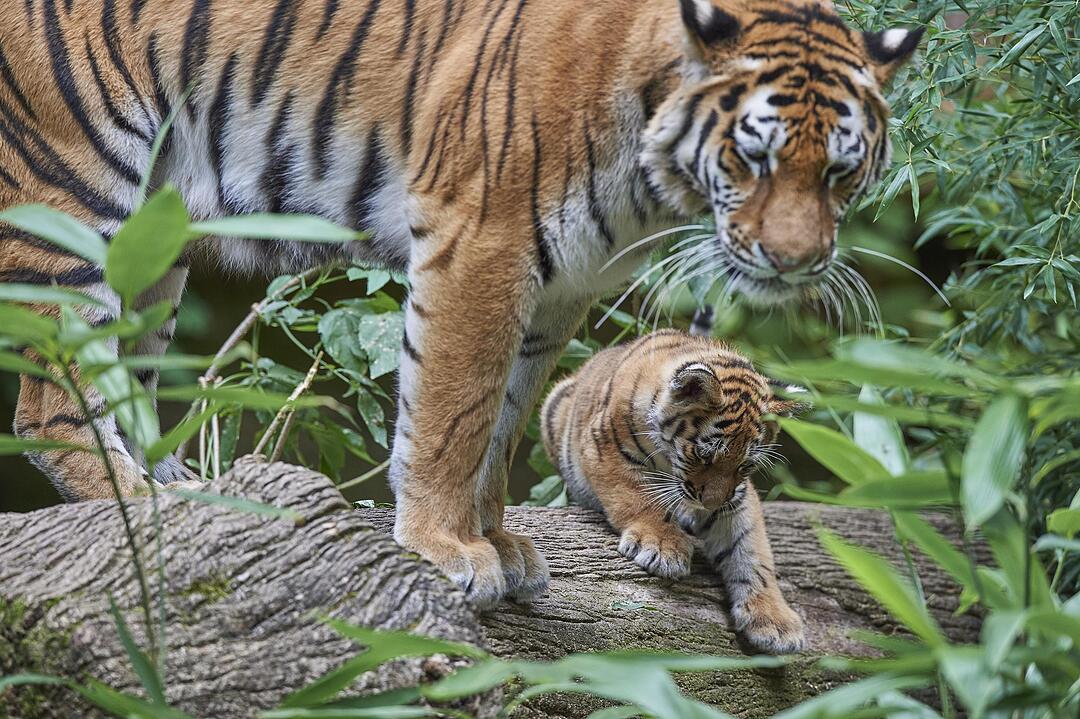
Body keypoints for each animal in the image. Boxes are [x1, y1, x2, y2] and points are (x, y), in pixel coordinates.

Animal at [0, 0, 921, 607]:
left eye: (840, 169)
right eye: (754, 156)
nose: (795, 260)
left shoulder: (561, 284)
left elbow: (505, 419)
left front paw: (499, 538)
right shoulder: (481, 244)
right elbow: (453, 410)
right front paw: (447, 545)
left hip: (154, 237)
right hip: (75, 184)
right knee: (48, 399)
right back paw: (142, 503)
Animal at [540, 325, 809, 653]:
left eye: (744, 465)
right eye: (705, 455)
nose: (711, 505)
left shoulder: (737, 497)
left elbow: (752, 550)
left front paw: (775, 622)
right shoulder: (604, 447)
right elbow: (638, 498)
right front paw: (661, 547)